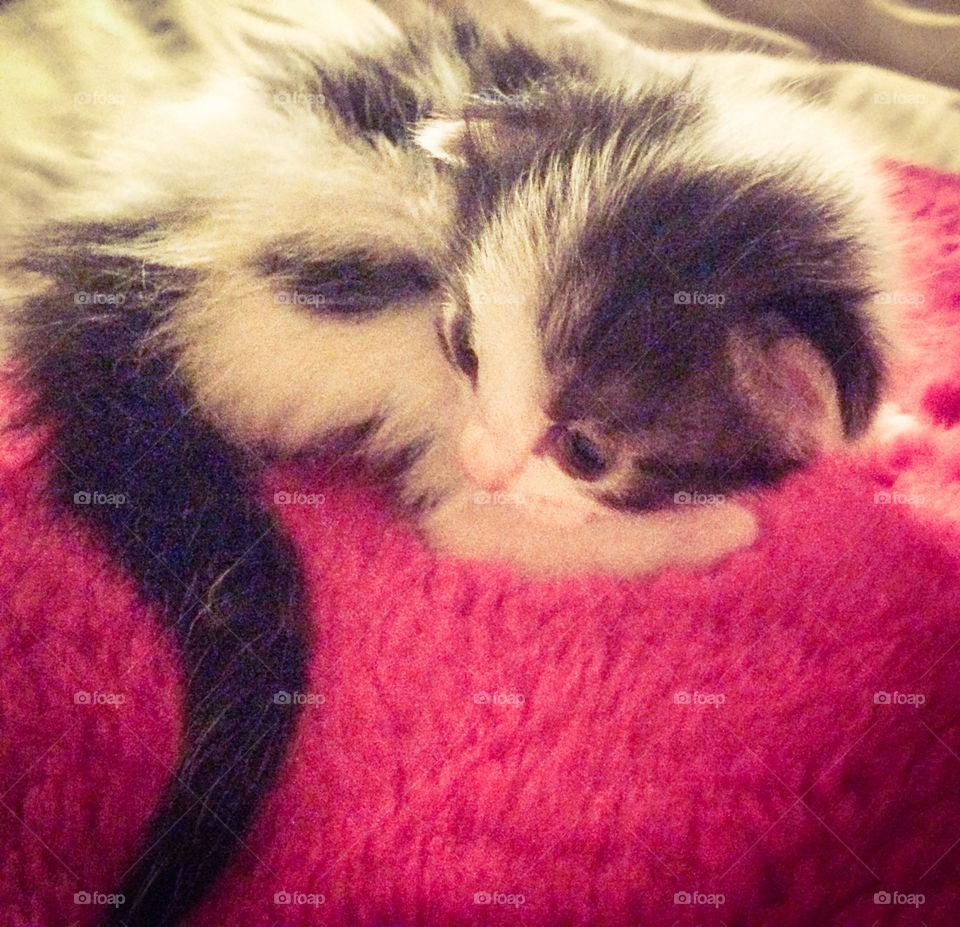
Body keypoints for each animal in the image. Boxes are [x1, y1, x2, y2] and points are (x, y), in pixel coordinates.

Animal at [0, 1, 884, 927]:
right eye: (462, 347)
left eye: (585, 449)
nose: (480, 456)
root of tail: (108, 267)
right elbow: (498, 527)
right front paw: (721, 524)